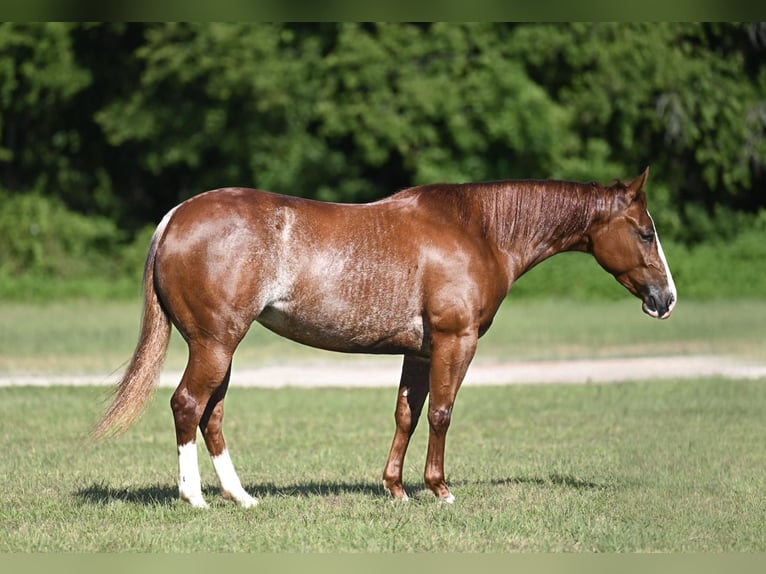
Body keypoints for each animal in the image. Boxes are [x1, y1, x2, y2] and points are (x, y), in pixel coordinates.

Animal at [94, 167, 676, 508]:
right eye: (645, 232)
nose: (666, 299)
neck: (479, 230)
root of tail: (176, 217)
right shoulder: (456, 341)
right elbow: (441, 412)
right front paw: (439, 488)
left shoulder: (418, 352)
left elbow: (407, 414)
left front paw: (395, 488)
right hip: (214, 344)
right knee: (188, 405)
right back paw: (195, 498)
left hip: (220, 348)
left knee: (211, 414)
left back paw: (242, 497)